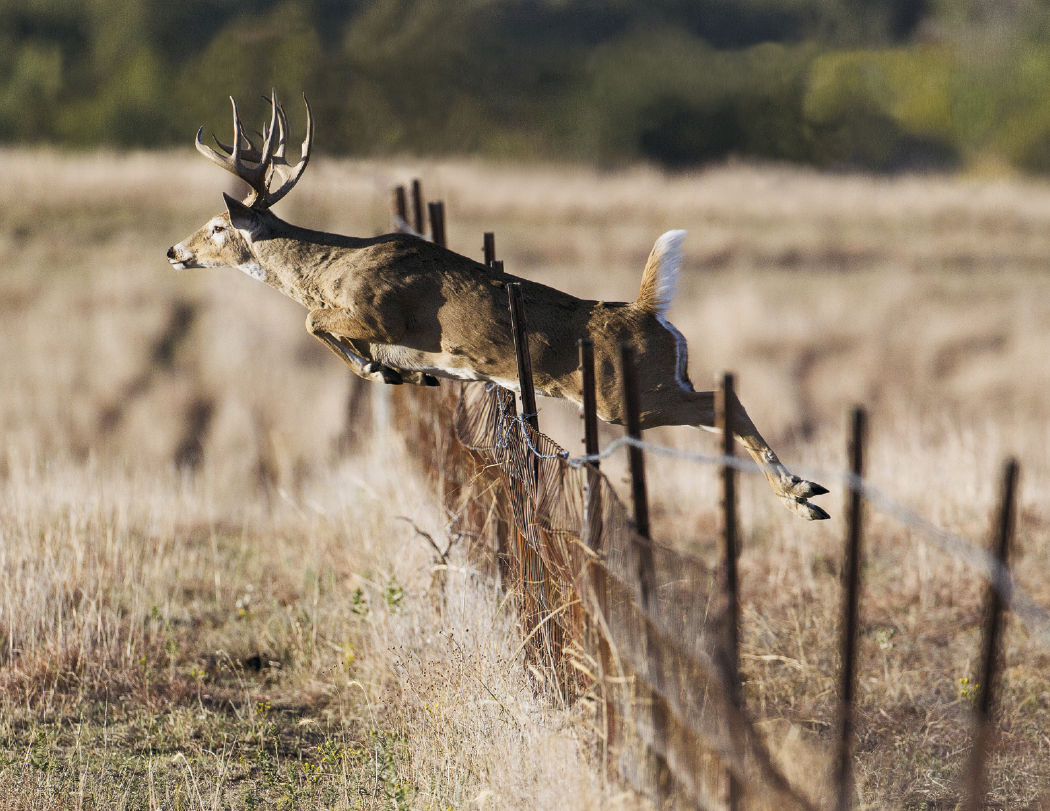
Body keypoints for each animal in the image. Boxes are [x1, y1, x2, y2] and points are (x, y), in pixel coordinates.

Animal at [167, 92, 829, 520]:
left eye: (217, 226)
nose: (174, 250)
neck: (331, 270)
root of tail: (647, 312)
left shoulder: (378, 309)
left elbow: (314, 323)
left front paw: (377, 368)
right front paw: (400, 373)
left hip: (628, 396)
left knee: (723, 399)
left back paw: (801, 492)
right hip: (654, 384)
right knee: (718, 403)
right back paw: (802, 493)